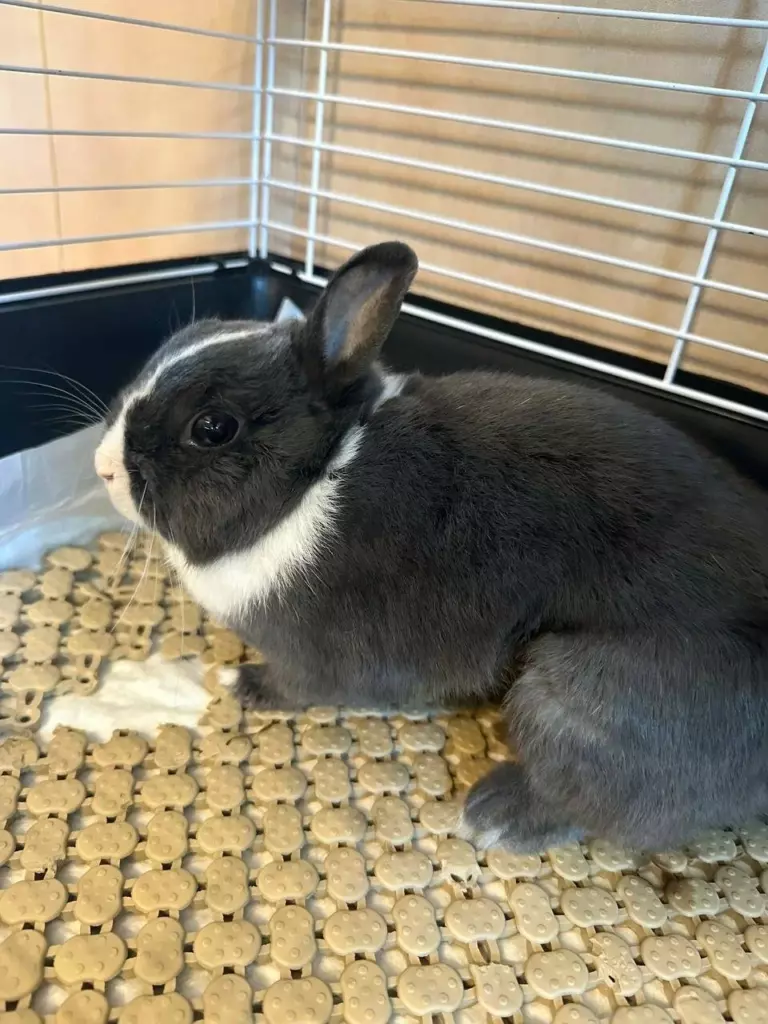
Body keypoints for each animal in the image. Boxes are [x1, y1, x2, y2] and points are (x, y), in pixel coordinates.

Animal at [95, 240, 768, 853]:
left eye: (212, 428)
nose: (102, 467)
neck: (310, 482)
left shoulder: (311, 657)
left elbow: (295, 686)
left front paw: (242, 683)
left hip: (574, 698)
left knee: (589, 804)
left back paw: (493, 814)